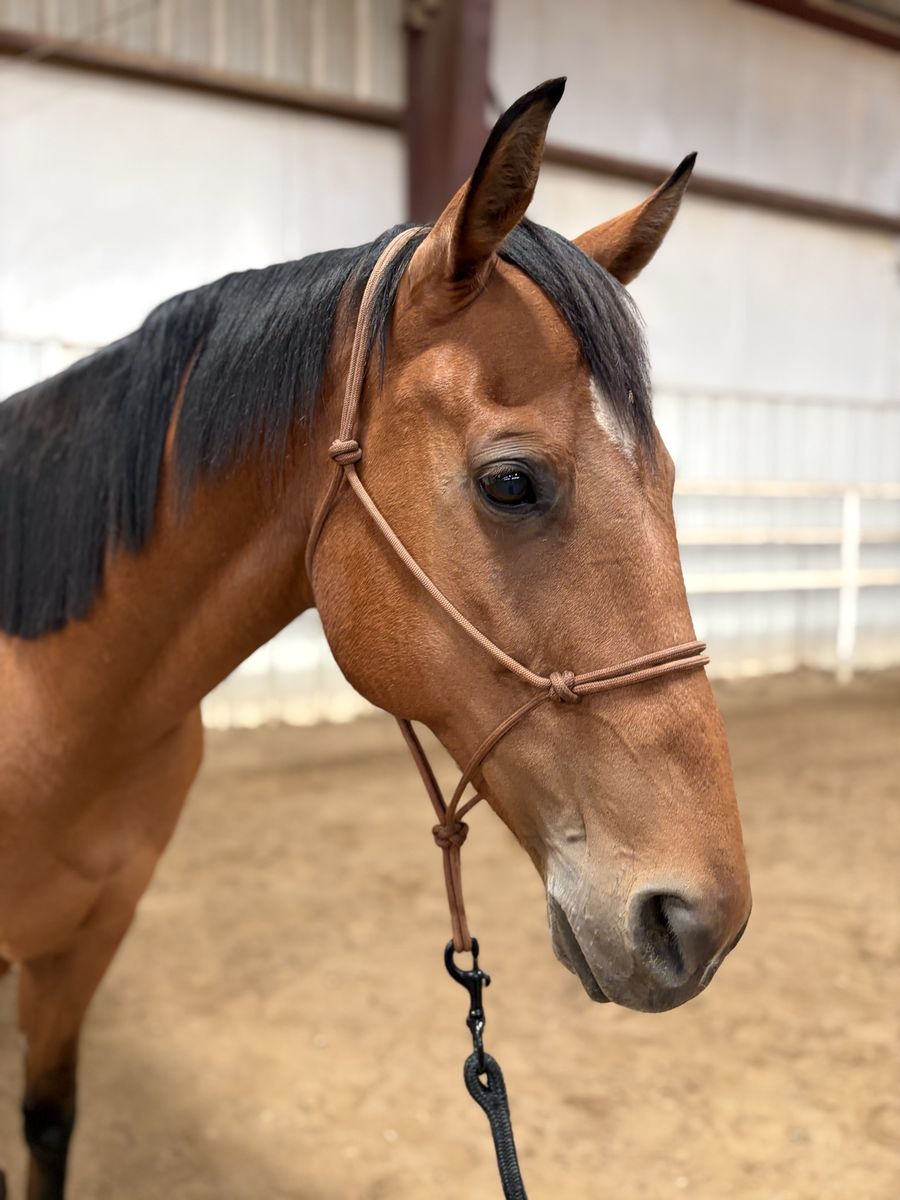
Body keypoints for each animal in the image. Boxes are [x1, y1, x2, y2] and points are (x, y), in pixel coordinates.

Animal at [0, 78, 751, 1198]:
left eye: (666, 477)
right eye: (512, 482)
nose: (701, 919)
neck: (56, 706)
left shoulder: (86, 942)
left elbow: (47, 1123)